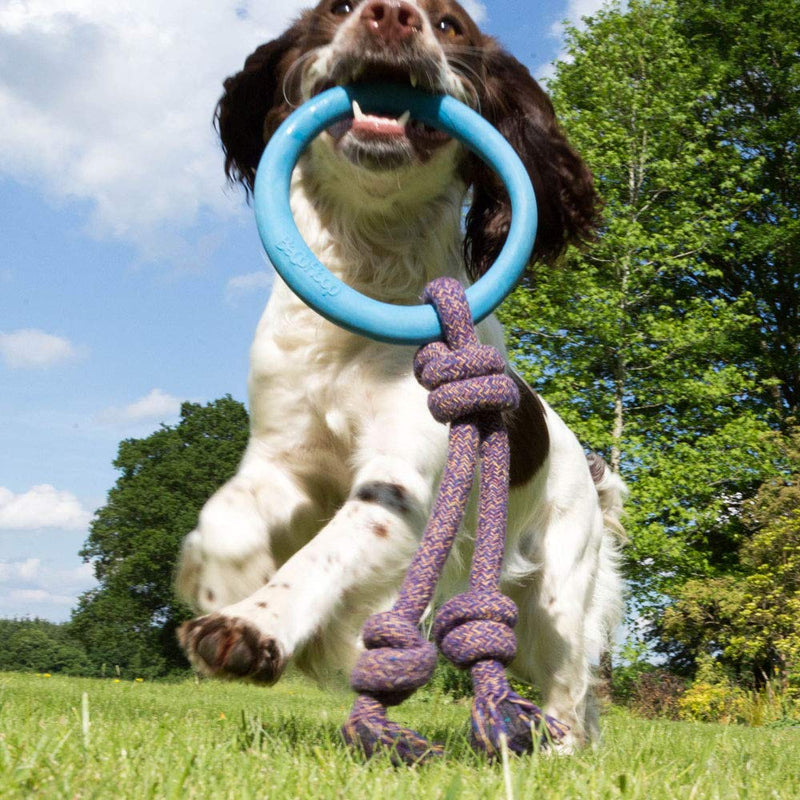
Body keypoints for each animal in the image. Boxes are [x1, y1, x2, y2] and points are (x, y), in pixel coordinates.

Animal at [177, 0, 624, 752]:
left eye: (450, 26)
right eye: (336, 8)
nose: (391, 14)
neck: (369, 268)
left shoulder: (402, 483)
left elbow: (322, 558)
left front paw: (251, 627)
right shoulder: (283, 458)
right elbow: (226, 514)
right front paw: (222, 583)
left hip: (556, 596)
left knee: (570, 685)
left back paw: (558, 751)